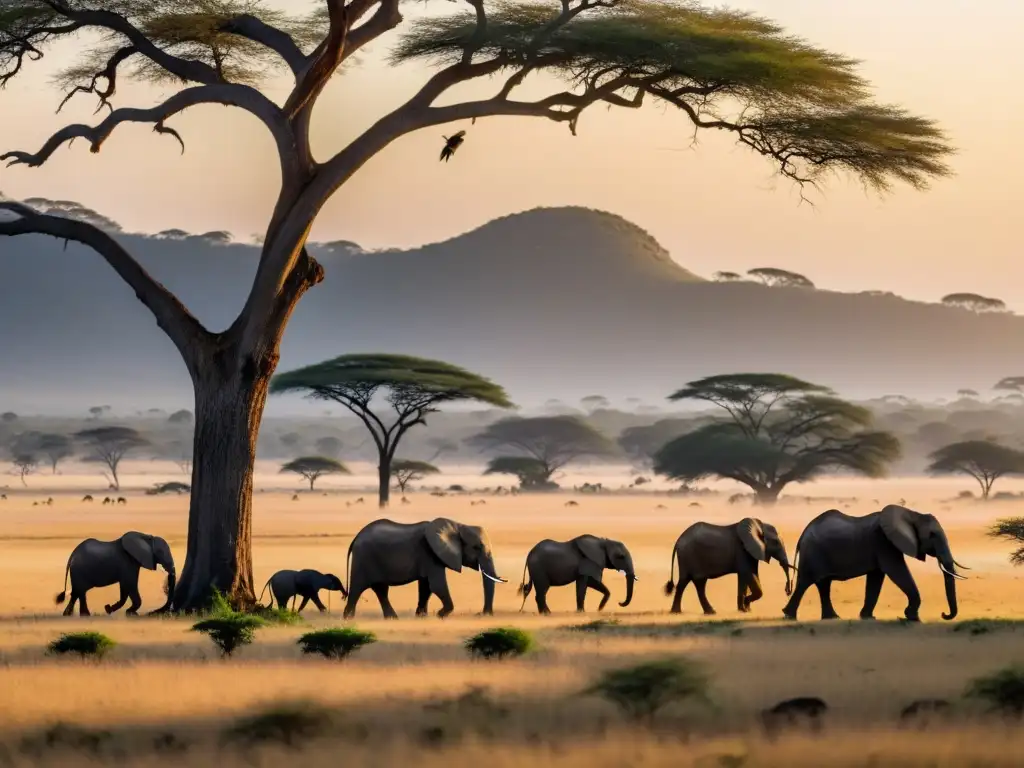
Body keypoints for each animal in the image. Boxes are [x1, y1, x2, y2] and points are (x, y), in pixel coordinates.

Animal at [342, 518, 505, 618]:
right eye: (477, 547)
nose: (481, 614)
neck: (457, 525)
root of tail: (356, 537)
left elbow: (426, 587)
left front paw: (421, 617)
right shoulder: (431, 554)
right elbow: (436, 585)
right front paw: (440, 615)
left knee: (381, 589)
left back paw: (392, 619)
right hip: (363, 559)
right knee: (358, 588)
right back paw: (348, 619)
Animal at [782, 505, 966, 626]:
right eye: (932, 535)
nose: (944, 614)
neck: (911, 514)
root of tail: (803, 534)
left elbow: (876, 578)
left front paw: (868, 617)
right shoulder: (884, 542)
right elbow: (896, 571)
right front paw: (912, 617)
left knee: (823, 584)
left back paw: (832, 618)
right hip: (812, 553)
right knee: (805, 583)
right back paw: (789, 616)